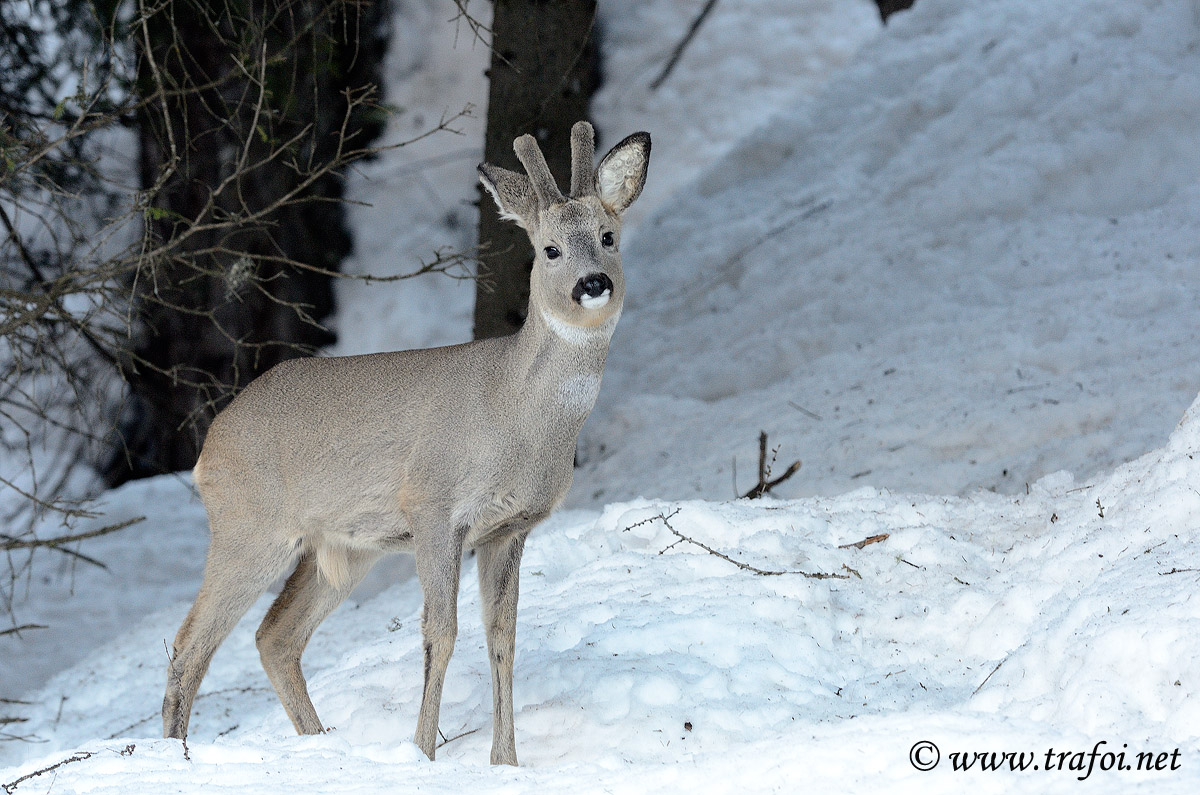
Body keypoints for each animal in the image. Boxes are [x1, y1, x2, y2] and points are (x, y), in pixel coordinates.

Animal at [163, 123, 652, 768]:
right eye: (549, 250)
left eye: (608, 236)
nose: (592, 284)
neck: (515, 414)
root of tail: (208, 448)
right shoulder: (433, 507)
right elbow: (439, 633)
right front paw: (423, 753)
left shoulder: (509, 529)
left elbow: (503, 638)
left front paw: (506, 762)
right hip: (250, 528)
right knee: (189, 643)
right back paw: (174, 756)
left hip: (342, 549)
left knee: (274, 636)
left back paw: (319, 744)